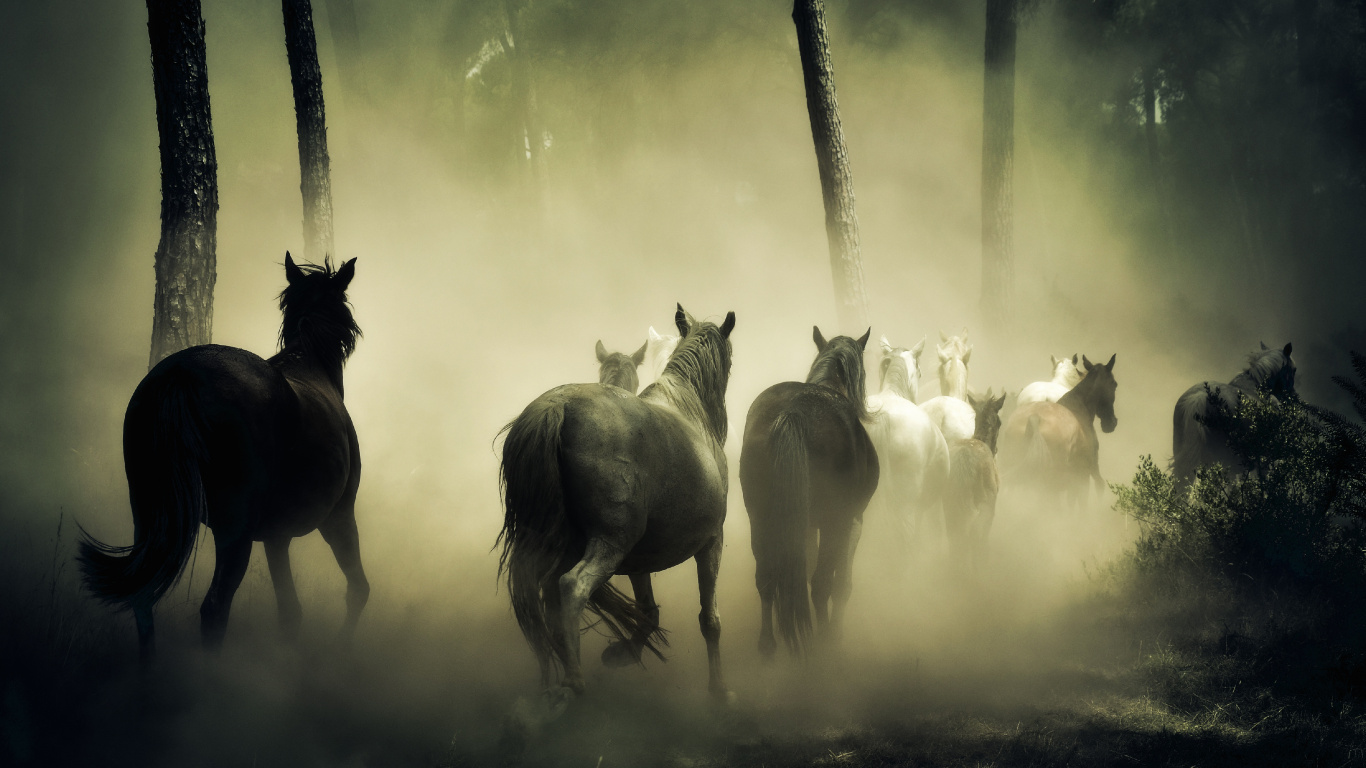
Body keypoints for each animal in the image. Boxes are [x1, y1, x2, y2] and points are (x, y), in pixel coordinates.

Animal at [78, 254, 369, 660]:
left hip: (149, 515)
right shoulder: (338, 518)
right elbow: (357, 590)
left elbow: (290, 612)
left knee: (143, 600)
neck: (309, 364)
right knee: (215, 608)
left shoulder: (277, 537)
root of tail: (182, 372)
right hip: (236, 530)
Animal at [498, 305, 736, 704]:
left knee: (535, 598)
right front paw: (719, 691)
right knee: (570, 587)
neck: (690, 410)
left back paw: (550, 683)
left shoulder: (640, 558)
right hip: (610, 543)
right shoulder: (711, 542)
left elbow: (648, 612)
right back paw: (573, 681)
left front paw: (621, 653)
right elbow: (710, 620)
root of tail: (556, 407)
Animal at [739, 326, 879, 656]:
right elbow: (841, 584)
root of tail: (794, 412)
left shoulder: (803, 525)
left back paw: (768, 644)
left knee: (766, 578)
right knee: (821, 584)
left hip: (760, 517)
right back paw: (823, 642)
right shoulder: (852, 521)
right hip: (832, 521)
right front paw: (836, 632)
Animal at [944, 390, 1006, 572]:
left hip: (950, 506)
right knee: (974, 537)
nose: (996, 449)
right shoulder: (991, 506)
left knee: (955, 538)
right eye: (1000, 422)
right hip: (983, 506)